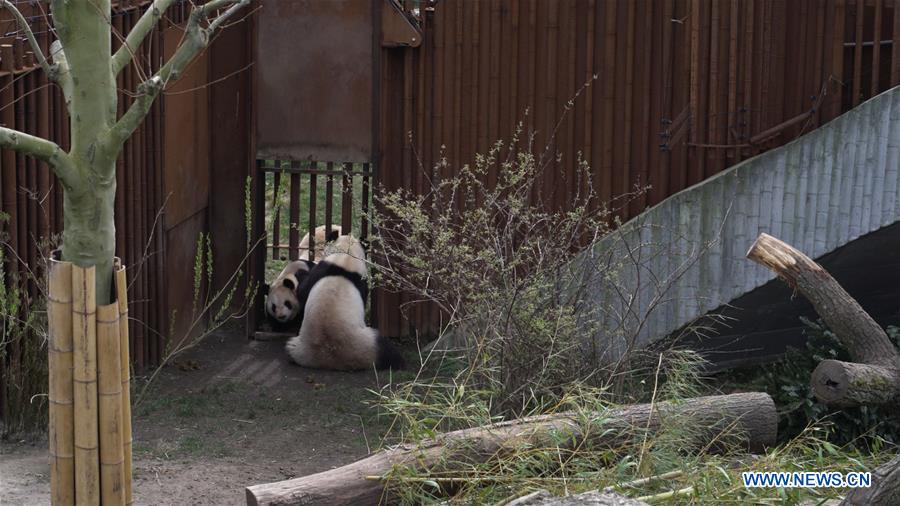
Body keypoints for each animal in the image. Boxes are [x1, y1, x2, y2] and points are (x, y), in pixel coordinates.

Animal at [286, 234, 405, 371]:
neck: (345, 261)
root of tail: (331, 359)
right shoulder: (329, 270)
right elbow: (303, 291)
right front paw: (300, 273)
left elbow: (303, 291)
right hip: (369, 344)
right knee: (388, 351)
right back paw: (399, 362)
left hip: (300, 348)